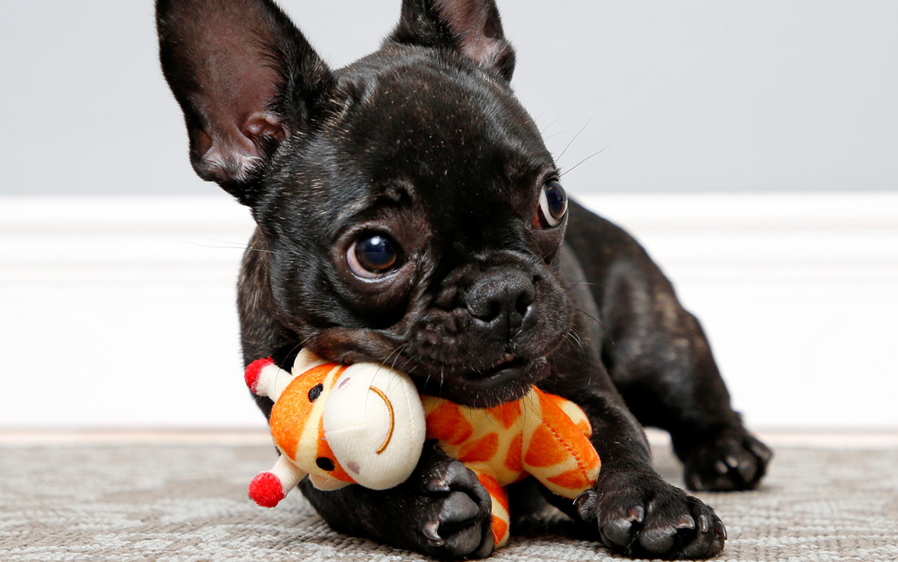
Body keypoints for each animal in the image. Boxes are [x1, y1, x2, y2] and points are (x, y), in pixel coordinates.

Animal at [156, 0, 768, 556]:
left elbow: (619, 437)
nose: (503, 292)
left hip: (656, 343)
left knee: (700, 400)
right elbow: (345, 492)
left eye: (552, 200)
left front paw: (650, 497)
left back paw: (729, 451)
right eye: (375, 252)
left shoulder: (587, 382)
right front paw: (419, 500)